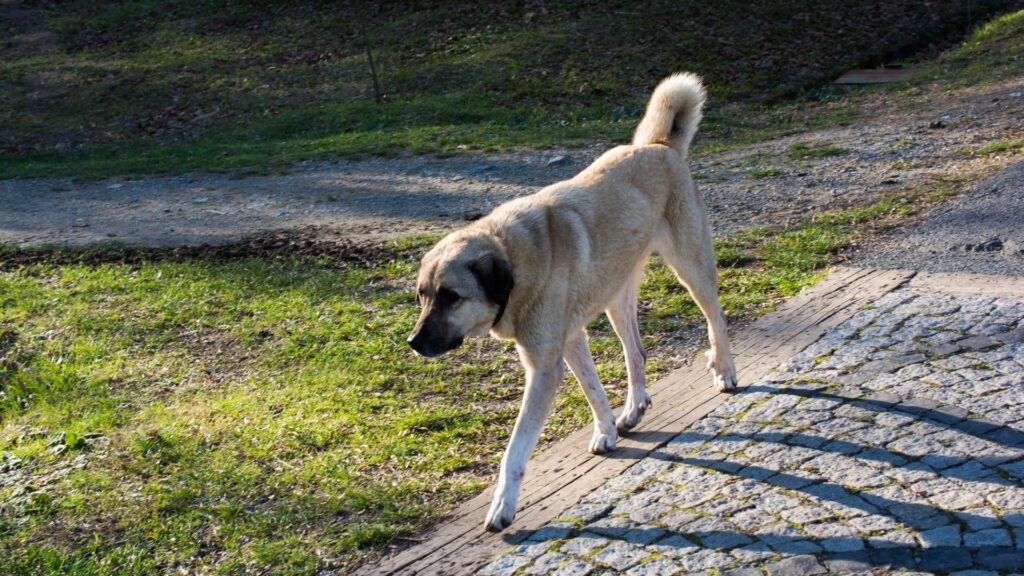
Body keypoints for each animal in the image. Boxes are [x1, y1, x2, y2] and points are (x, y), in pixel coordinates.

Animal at [407, 73, 737, 532]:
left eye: (451, 297)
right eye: (422, 296)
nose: (414, 342)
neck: (515, 258)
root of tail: (658, 146)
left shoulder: (544, 367)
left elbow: (515, 448)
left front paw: (503, 505)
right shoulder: (570, 340)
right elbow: (594, 390)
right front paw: (606, 431)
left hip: (691, 267)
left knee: (716, 319)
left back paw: (724, 370)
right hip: (617, 299)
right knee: (636, 353)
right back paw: (634, 408)